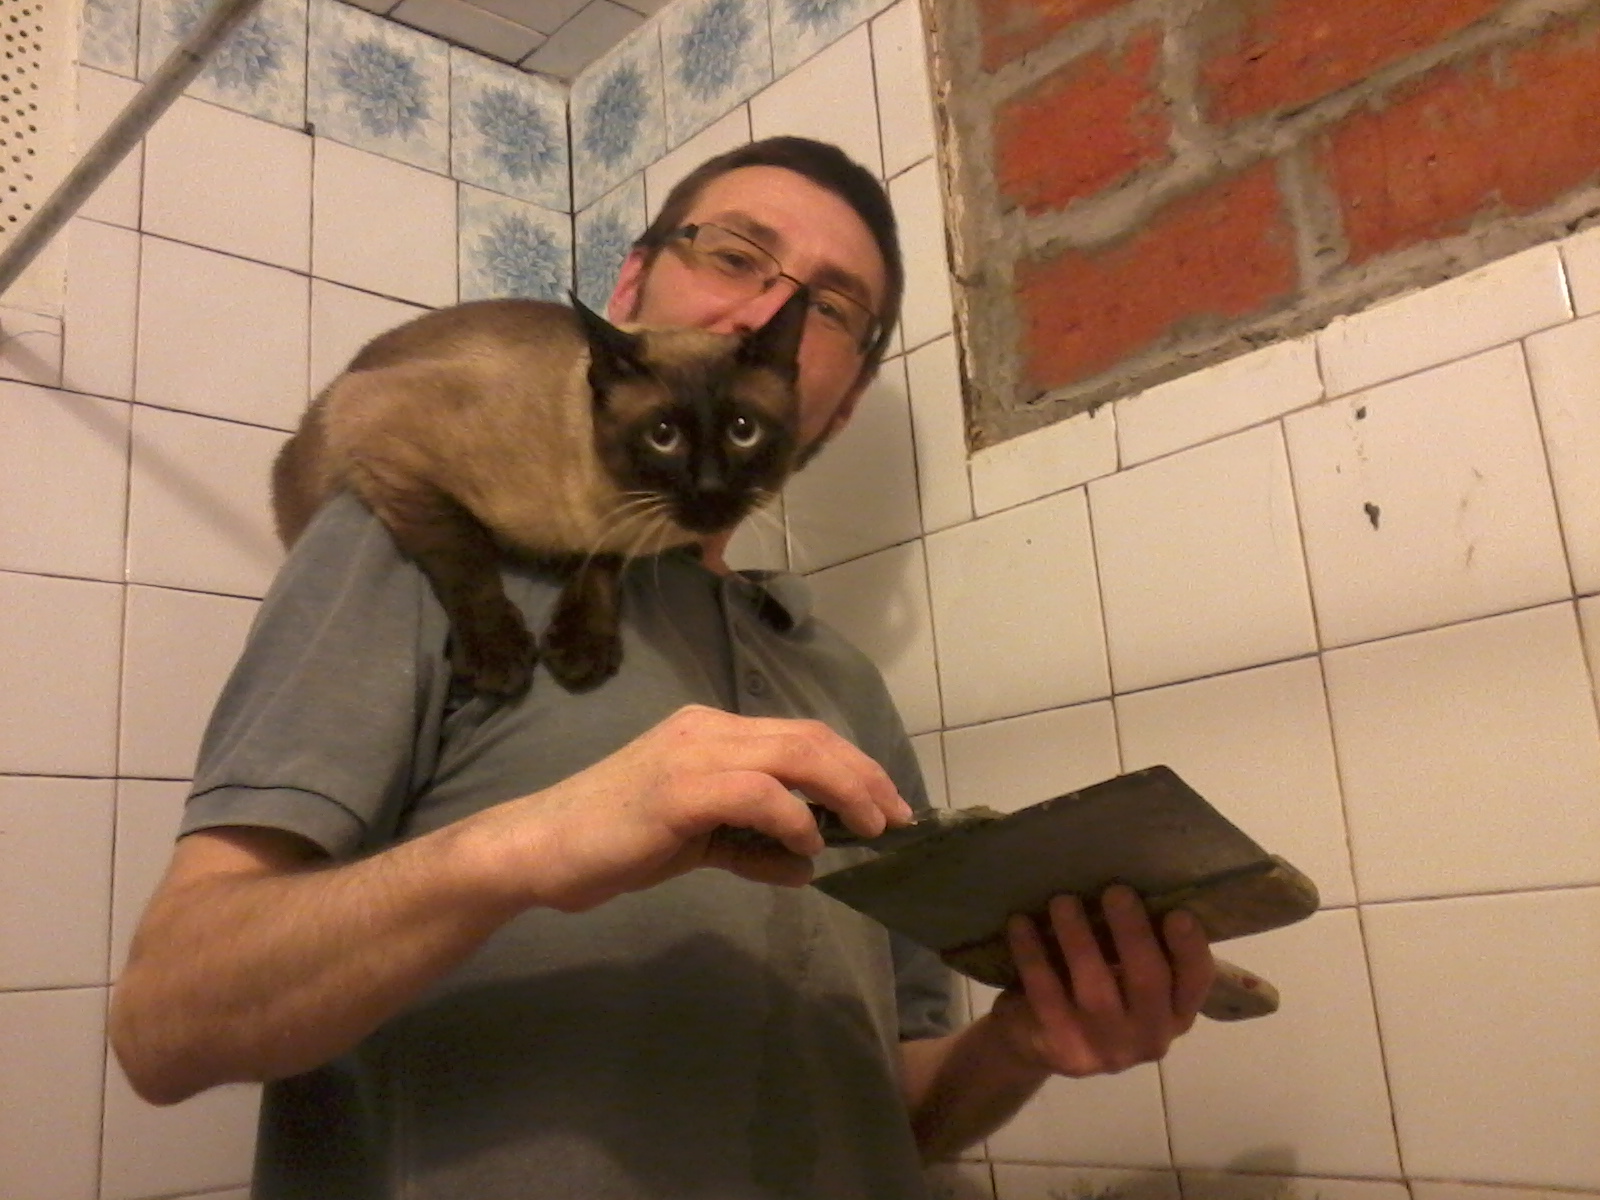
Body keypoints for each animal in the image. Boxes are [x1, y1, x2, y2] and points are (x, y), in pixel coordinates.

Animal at [271, 289, 809, 698]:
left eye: (743, 430)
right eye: (663, 436)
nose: (711, 485)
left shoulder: (611, 541)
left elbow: (600, 568)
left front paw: (581, 649)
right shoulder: (389, 445)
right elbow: (463, 553)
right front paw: (500, 657)